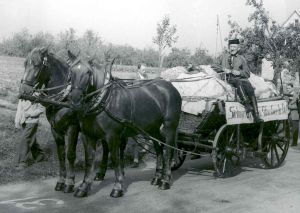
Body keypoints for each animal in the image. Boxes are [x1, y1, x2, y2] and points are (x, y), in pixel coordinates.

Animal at [18, 47, 108, 194]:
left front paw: (70, 183)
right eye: (25, 64)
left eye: (37, 65)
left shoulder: (73, 127)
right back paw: (101, 174)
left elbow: (70, 154)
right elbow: (61, 155)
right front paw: (60, 182)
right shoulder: (55, 129)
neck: (63, 97)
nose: (24, 90)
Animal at [68, 55, 182, 198]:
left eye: (88, 72)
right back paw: (157, 178)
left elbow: (115, 159)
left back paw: (165, 181)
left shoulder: (112, 136)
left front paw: (117, 187)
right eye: (71, 70)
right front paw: (83, 187)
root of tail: (171, 87)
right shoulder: (88, 136)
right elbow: (89, 161)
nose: (75, 99)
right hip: (153, 130)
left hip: (169, 127)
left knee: (169, 151)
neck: (104, 100)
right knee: (159, 150)